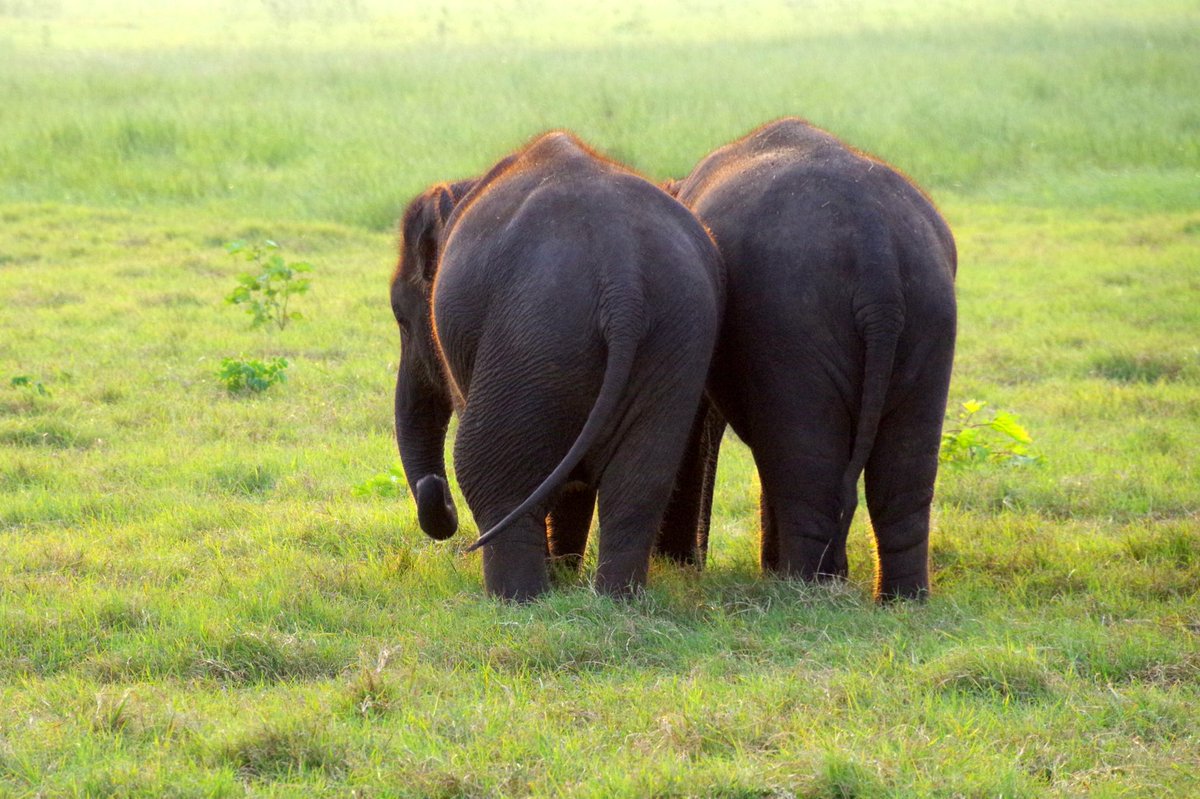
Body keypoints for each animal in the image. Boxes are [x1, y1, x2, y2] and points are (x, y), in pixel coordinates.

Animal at [389, 131, 724, 600]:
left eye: (400, 317)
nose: (433, 491)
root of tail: (623, 280)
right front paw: (566, 574)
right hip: (673, 341)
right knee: (638, 484)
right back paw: (615, 599)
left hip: (532, 331)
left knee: (492, 474)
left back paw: (517, 600)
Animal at [661, 118, 957, 600]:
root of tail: (876, 252)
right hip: (929, 313)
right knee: (898, 472)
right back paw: (896, 598)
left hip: (799, 320)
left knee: (807, 462)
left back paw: (803, 589)